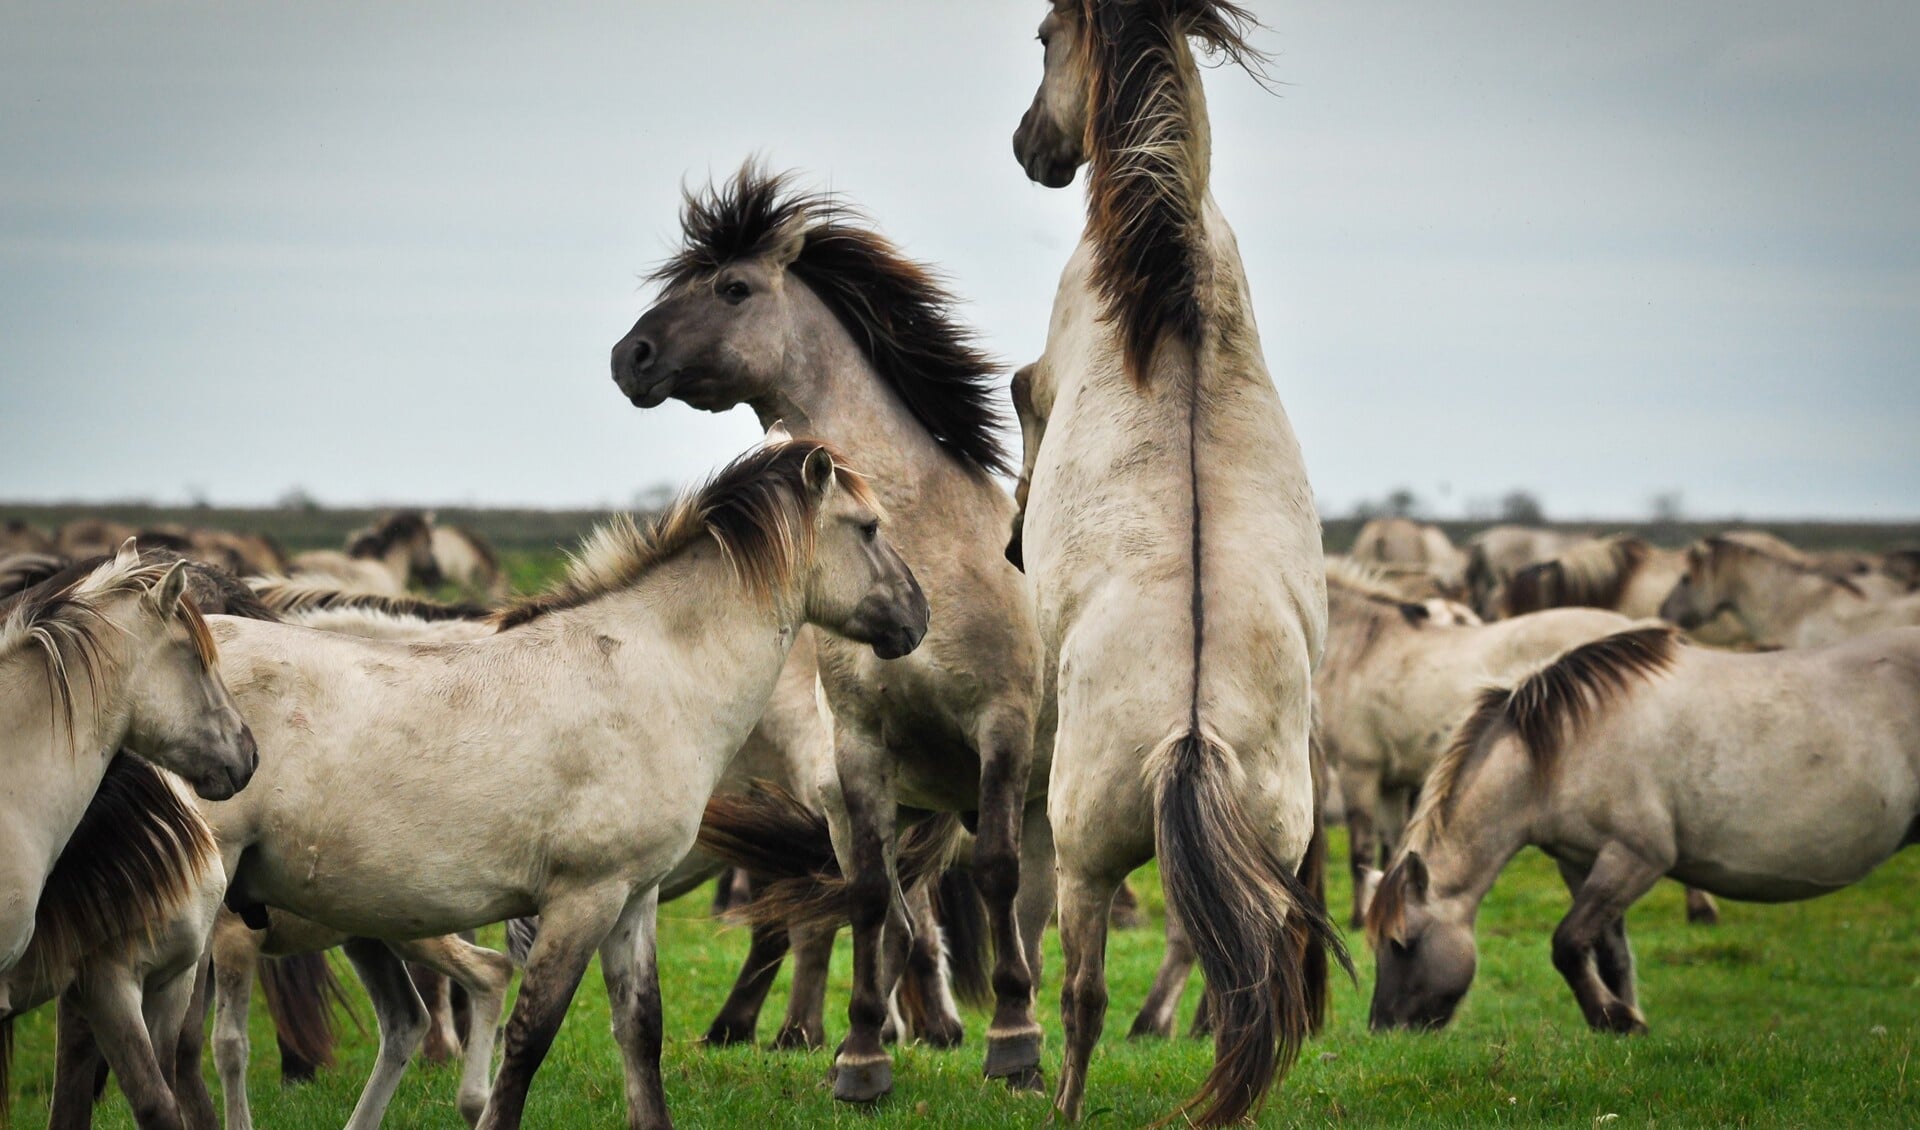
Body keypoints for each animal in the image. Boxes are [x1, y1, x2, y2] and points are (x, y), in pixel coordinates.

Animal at [610, 163, 1052, 1097]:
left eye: (733, 289)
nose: (629, 358)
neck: (927, 540)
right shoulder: (859, 750)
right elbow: (868, 898)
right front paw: (859, 1061)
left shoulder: (1000, 731)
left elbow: (993, 878)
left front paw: (1013, 1047)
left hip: (1040, 792)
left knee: (1028, 908)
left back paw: (1025, 1032)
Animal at [1006, 4, 1351, 1120]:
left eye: (1044, 35)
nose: (1032, 149)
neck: (1175, 282)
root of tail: (1192, 736)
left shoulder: (1043, 372)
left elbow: (1020, 407)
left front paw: (1015, 529)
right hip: (1269, 865)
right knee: (1252, 1002)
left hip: (1083, 854)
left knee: (1080, 991)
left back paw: (1062, 1103)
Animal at [1367, 621, 1920, 1035]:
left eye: (1403, 943)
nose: (1384, 1029)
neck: (1560, 750)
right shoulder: (1582, 863)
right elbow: (1609, 952)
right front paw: (1626, 1021)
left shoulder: (1637, 858)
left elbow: (1568, 942)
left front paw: (1613, 1018)